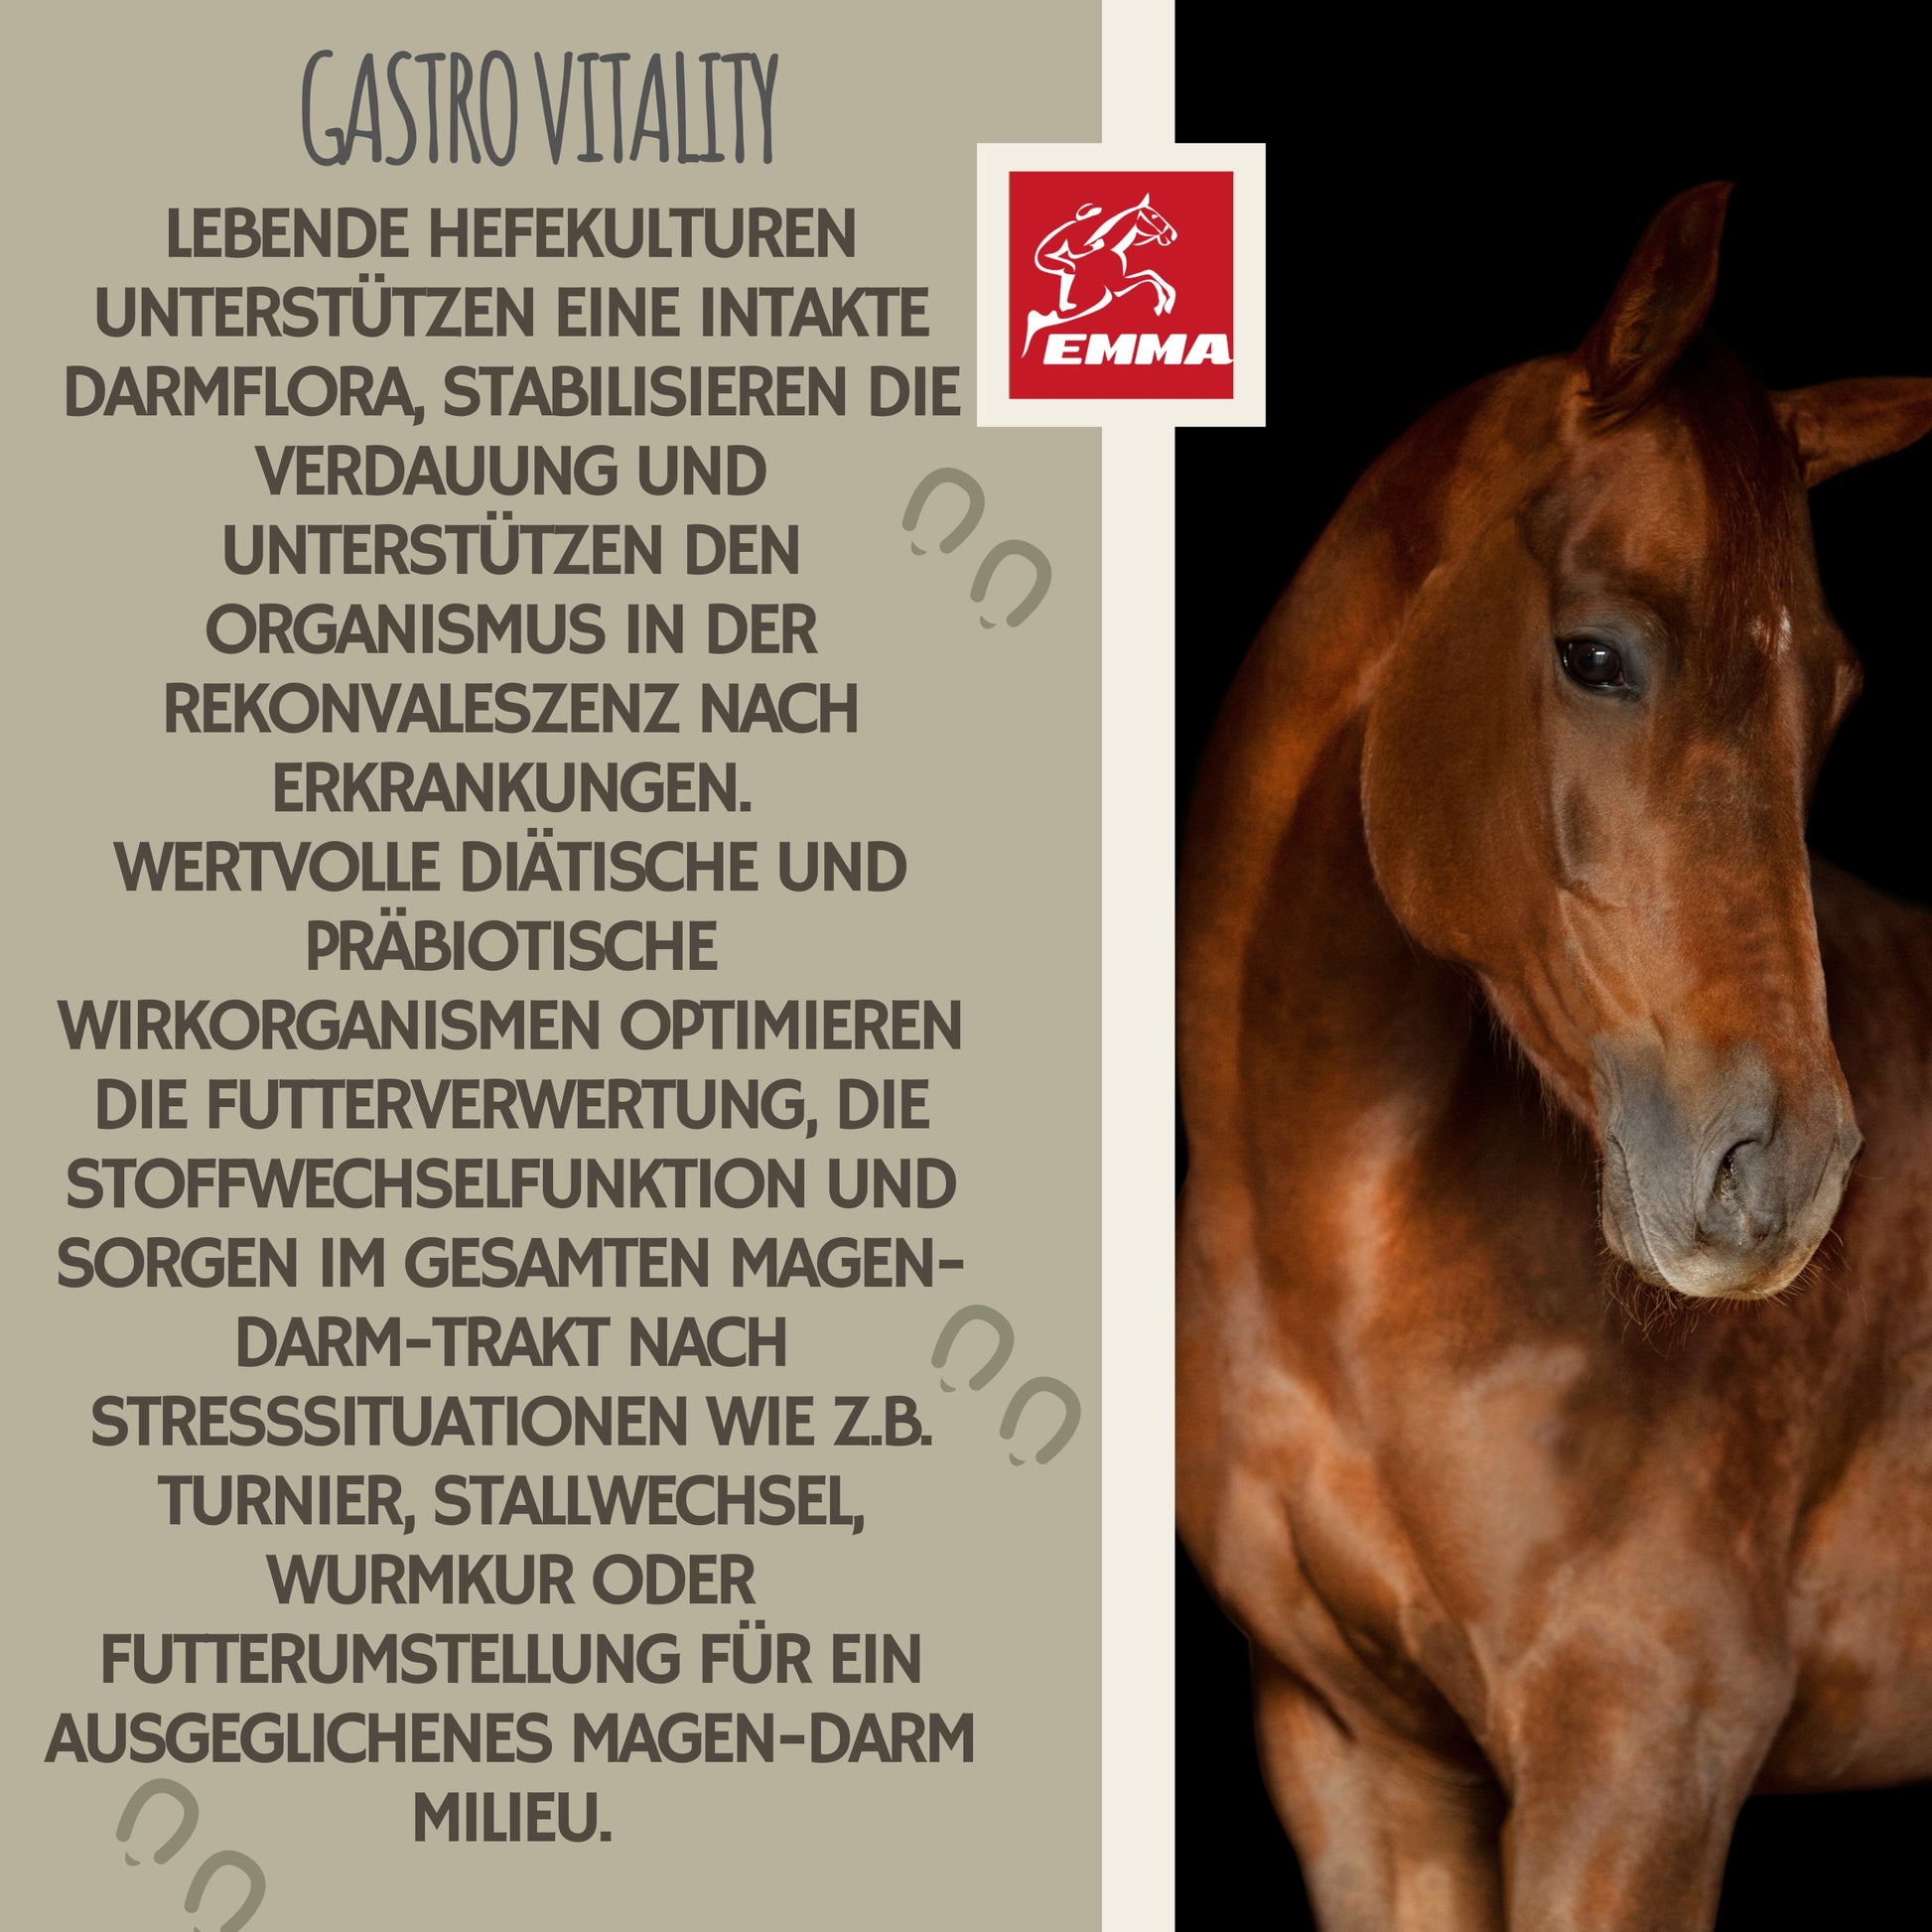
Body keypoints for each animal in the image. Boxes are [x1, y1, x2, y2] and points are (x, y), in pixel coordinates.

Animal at [1022, 195, 1178, 354]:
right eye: (1154, 216)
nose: (1173, 235)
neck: (1112, 248)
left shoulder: (1120, 282)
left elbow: (1151, 274)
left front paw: (1167, 303)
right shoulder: (1118, 285)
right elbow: (1149, 277)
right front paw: (1162, 304)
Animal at [1176, 182, 1932, 1931]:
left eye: (1830, 694)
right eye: (1594, 654)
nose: (1776, 1174)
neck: (1340, 1257)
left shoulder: (1635, 1764)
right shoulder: (1360, 1760)